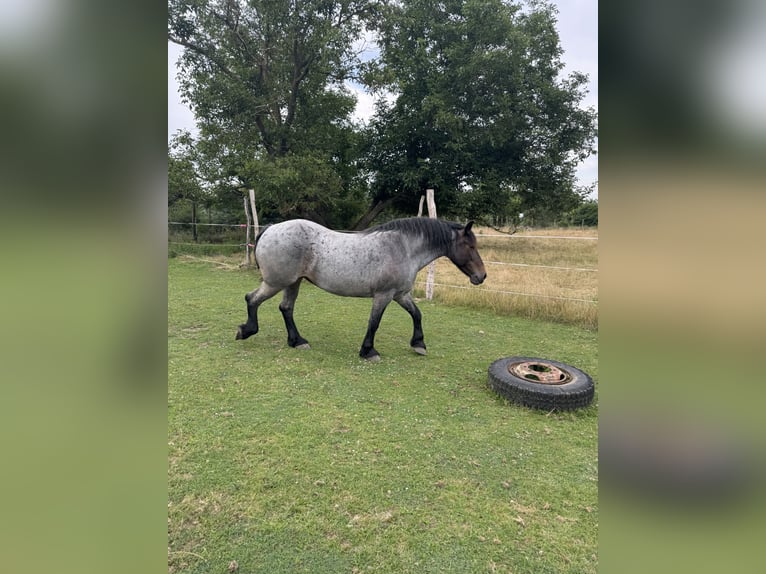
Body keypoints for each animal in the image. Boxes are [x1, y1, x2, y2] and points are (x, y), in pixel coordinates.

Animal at [234, 218, 488, 362]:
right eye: (469, 246)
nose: (482, 276)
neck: (404, 248)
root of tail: (270, 229)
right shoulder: (384, 295)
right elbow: (374, 323)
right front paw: (369, 351)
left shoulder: (399, 294)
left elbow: (417, 314)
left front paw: (419, 344)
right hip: (276, 283)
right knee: (251, 299)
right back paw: (246, 330)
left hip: (292, 282)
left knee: (285, 308)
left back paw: (297, 341)